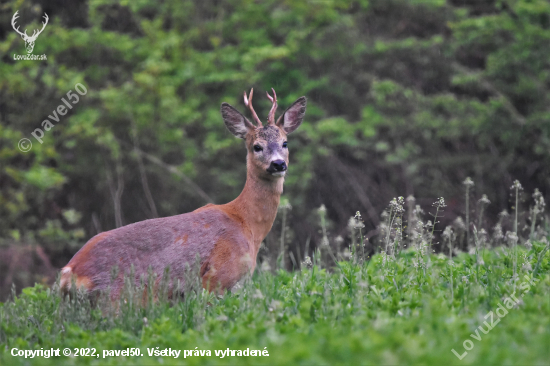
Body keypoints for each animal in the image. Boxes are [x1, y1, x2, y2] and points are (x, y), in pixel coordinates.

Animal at [63, 88, 310, 298]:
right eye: (257, 146)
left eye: (285, 143)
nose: (278, 164)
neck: (246, 223)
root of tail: (70, 272)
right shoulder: (218, 277)